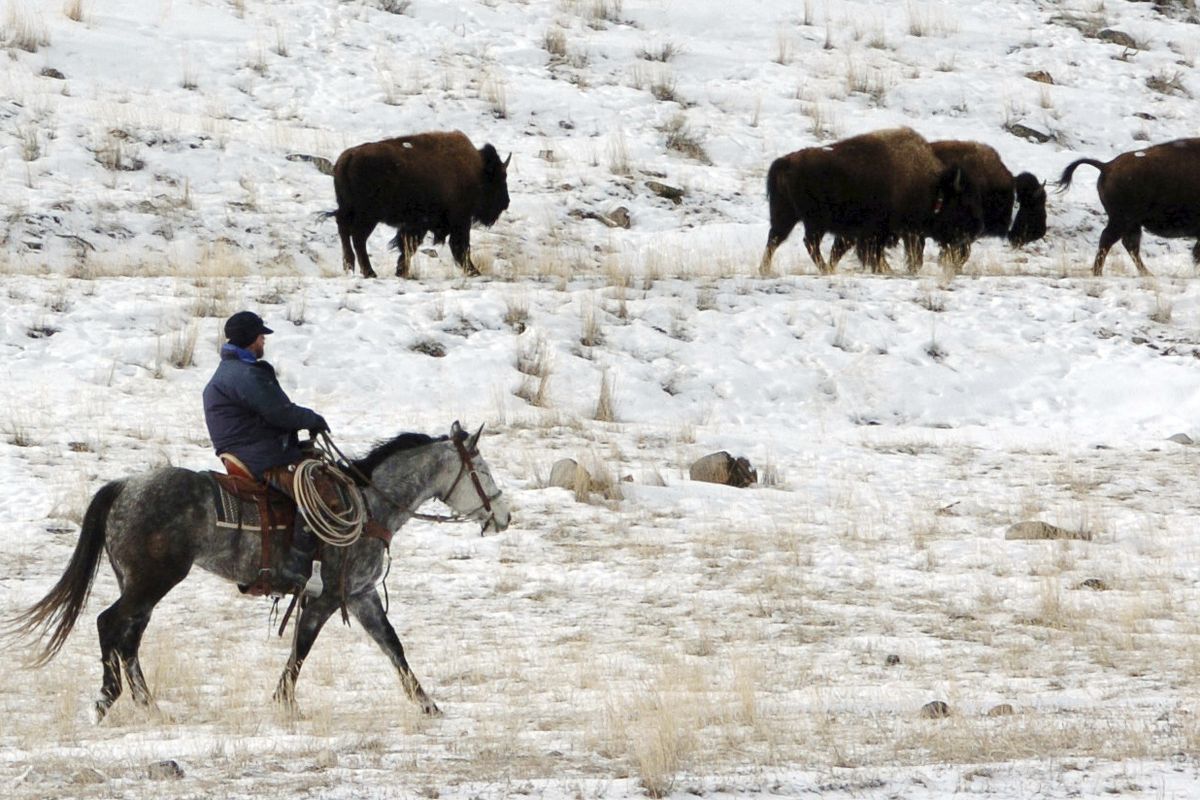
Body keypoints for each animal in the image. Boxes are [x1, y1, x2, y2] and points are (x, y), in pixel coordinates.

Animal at [331, 130, 511, 278]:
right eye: (501, 178)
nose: (506, 202)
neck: (476, 171)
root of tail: (348, 158)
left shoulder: (416, 225)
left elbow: (408, 246)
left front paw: (401, 271)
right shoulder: (459, 220)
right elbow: (460, 246)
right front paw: (474, 272)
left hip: (350, 211)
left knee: (345, 231)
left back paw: (350, 266)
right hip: (368, 216)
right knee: (358, 238)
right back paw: (369, 272)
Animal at [760, 127, 984, 275]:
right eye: (960, 204)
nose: (972, 233)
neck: (931, 186)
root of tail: (786, 162)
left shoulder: (861, 234)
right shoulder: (887, 233)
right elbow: (877, 253)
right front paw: (886, 269)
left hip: (786, 216)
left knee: (775, 240)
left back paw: (766, 269)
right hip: (813, 221)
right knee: (808, 243)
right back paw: (823, 269)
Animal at [1058, 137, 1200, 276]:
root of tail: (1107, 166)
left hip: (1131, 223)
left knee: (1129, 244)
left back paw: (1146, 273)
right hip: (1122, 220)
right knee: (1109, 239)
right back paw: (1099, 272)